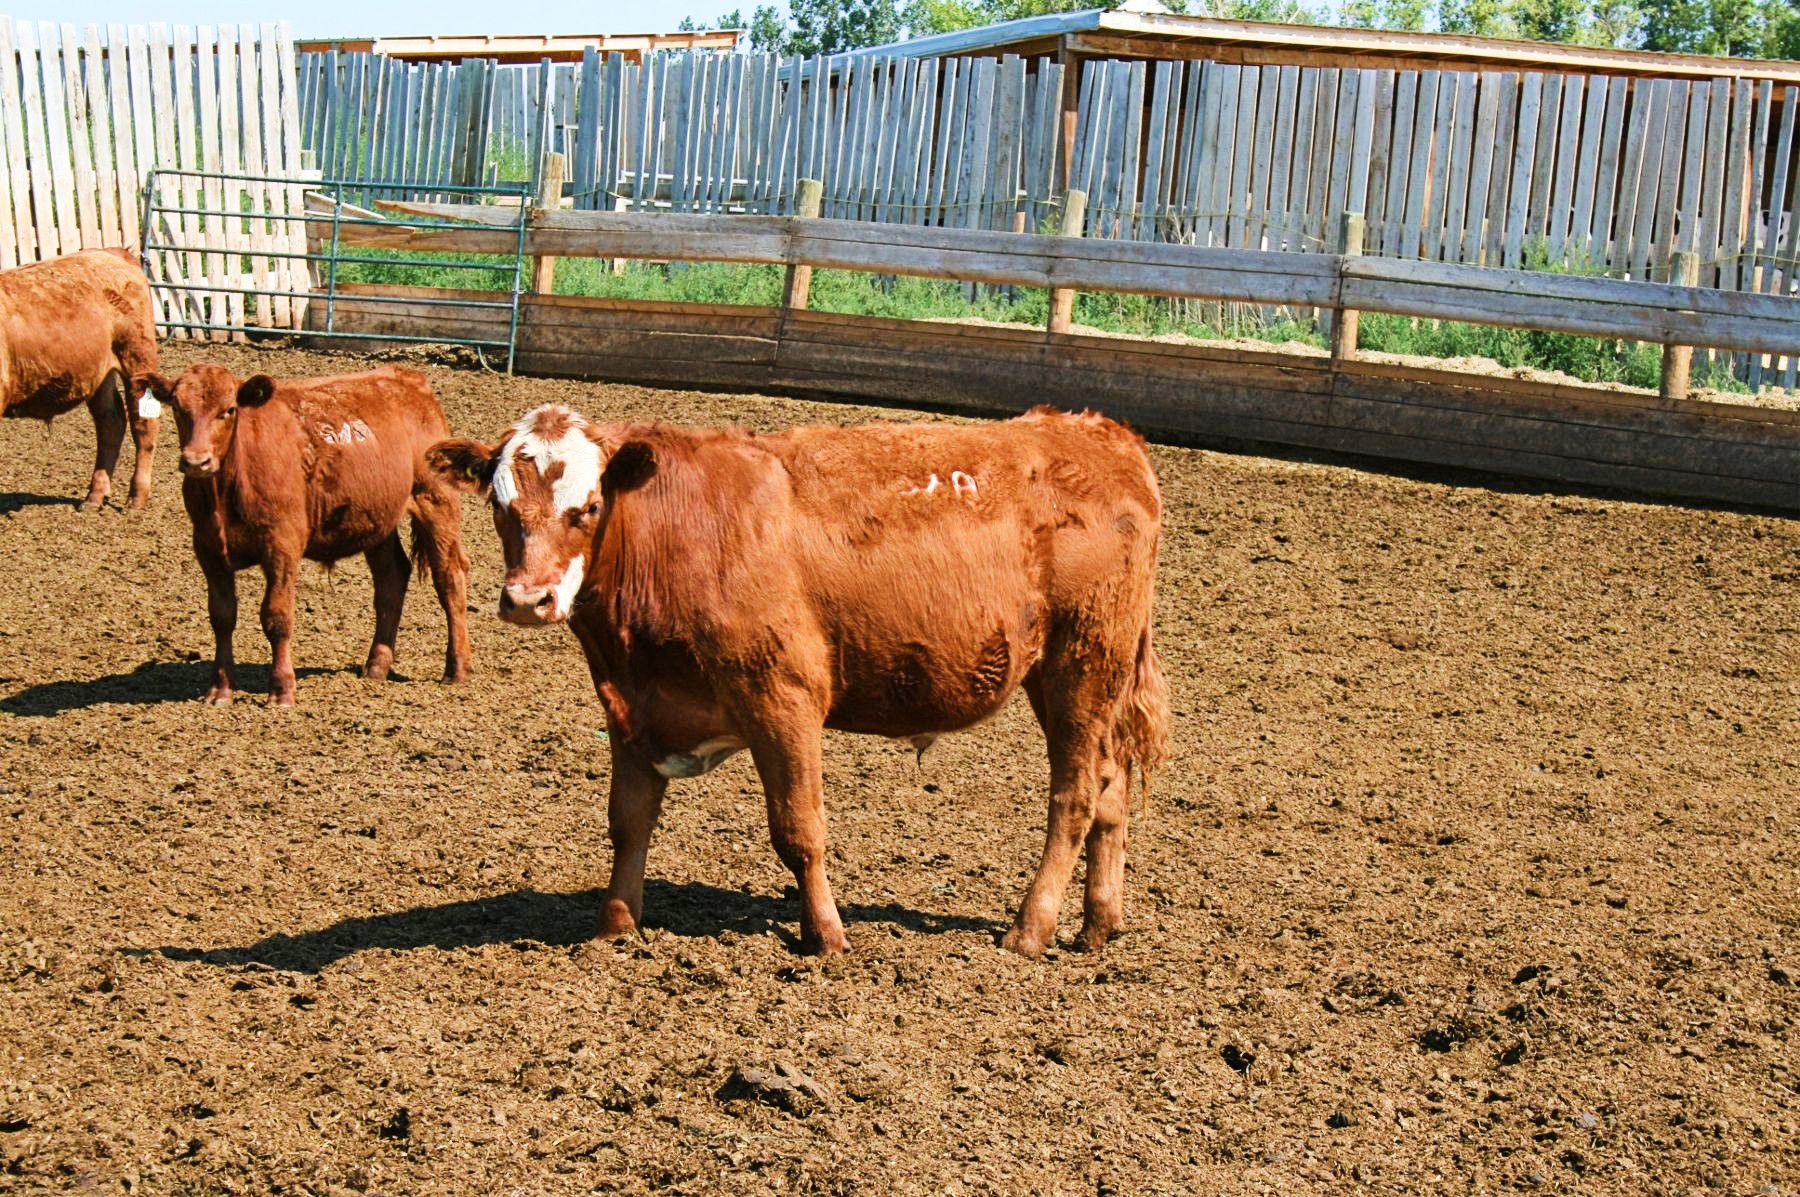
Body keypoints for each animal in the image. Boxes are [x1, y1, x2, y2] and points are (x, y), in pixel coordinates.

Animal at [1, 249, 161, 509]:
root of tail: (112, 252)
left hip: (137, 357)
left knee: (143, 423)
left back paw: (136, 497)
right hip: (100, 373)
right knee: (111, 421)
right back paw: (95, 495)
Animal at [141, 363, 472, 706]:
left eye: (229, 409)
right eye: (177, 407)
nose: (197, 461)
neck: (227, 487)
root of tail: (407, 377)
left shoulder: (282, 547)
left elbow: (276, 617)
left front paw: (282, 689)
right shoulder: (207, 549)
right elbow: (222, 616)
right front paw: (219, 689)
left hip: (436, 502)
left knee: (450, 579)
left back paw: (456, 669)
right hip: (377, 520)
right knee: (391, 578)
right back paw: (376, 667)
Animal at [428, 403, 1169, 958]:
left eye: (585, 507)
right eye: (500, 507)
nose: (529, 599)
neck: (675, 532)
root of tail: (1100, 433)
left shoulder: (782, 699)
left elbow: (798, 828)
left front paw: (826, 935)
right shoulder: (631, 708)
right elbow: (629, 821)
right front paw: (615, 926)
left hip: (1083, 662)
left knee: (1074, 795)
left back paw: (1029, 929)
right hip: (1073, 675)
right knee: (1109, 787)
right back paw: (1098, 923)